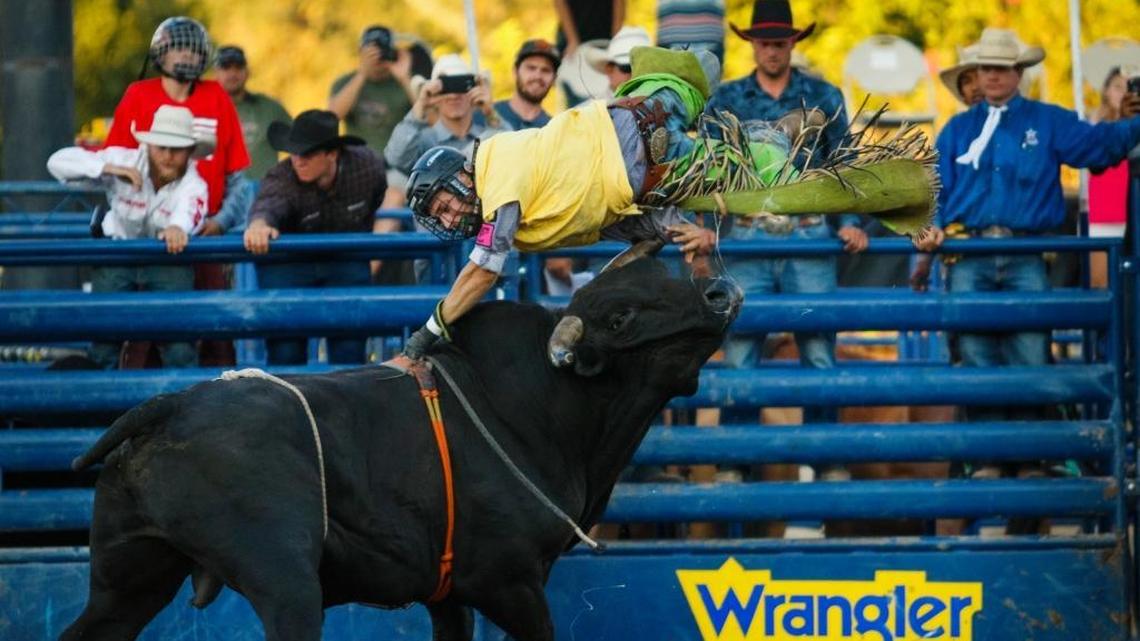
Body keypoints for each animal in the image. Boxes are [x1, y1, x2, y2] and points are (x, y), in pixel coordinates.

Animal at [61, 245, 742, 641]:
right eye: (622, 316)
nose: (720, 293)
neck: (530, 404)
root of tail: (169, 405)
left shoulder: (449, 599)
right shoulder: (511, 583)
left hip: (129, 576)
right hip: (285, 585)